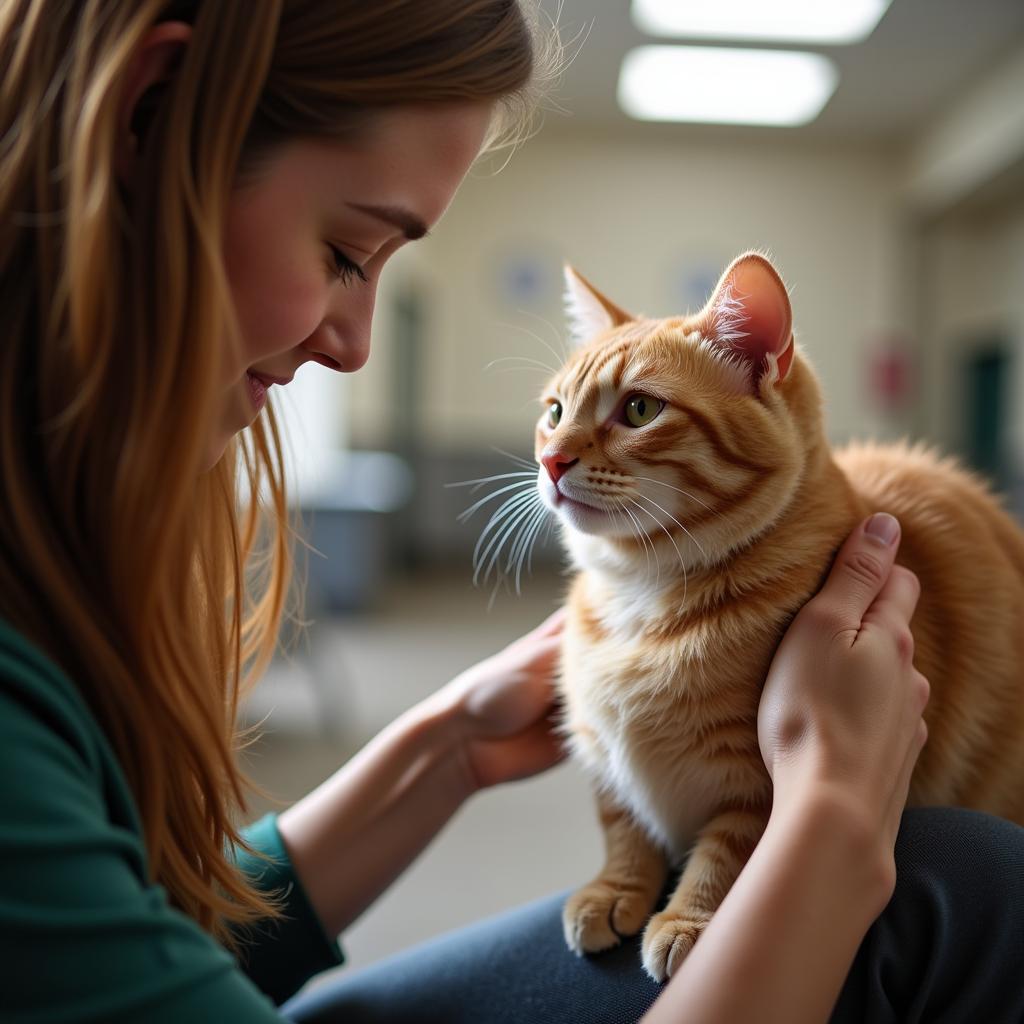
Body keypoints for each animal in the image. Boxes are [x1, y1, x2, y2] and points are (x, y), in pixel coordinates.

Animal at [536, 251, 1024, 978]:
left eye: (640, 409)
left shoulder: (757, 784)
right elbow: (622, 822)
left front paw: (691, 920)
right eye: (555, 410)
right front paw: (613, 888)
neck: (641, 599)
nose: (550, 459)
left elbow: (732, 853)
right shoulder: (602, 757)